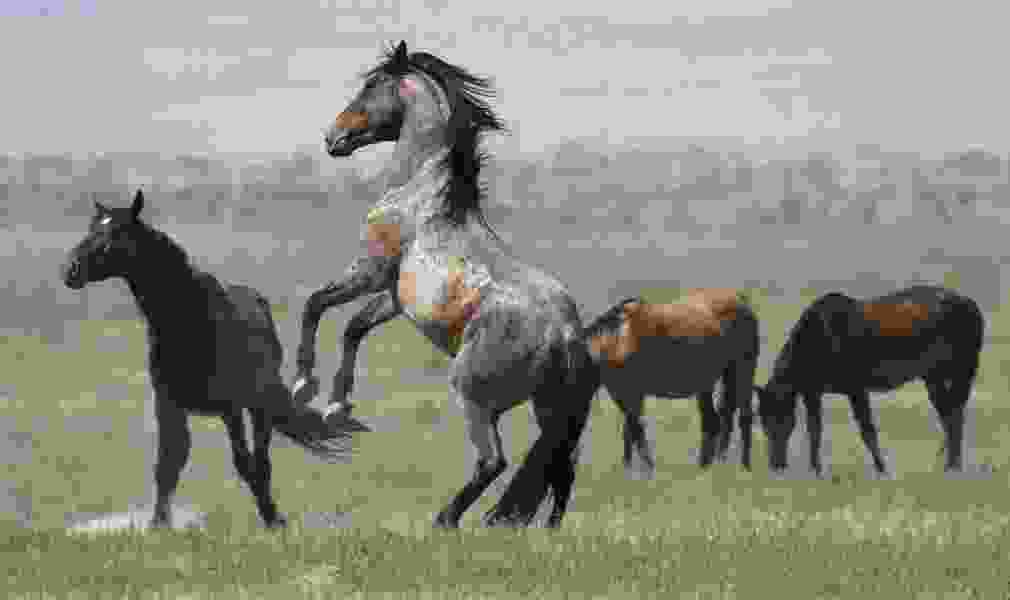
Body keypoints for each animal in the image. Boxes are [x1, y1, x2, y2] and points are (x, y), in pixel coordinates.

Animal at [60, 190, 368, 529]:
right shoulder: (168, 404)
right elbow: (168, 463)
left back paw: (272, 516)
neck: (193, 322)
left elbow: (244, 463)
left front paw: (272, 516)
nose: (70, 270)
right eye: (92, 227)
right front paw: (158, 524)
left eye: (115, 232)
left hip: (256, 407)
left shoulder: (230, 407)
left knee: (261, 460)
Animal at [293, 41, 599, 528]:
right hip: (550, 411)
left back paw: (445, 521)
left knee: (493, 461)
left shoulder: (370, 271)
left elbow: (315, 304)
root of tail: (565, 335)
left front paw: (304, 384)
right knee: (559, 471)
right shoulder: (394, 298)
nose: (332, 137)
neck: (422, 195)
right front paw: (338, 406)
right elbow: (354, 329)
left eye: (371, 85)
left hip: (473, 396)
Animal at [581, 290, 759, 477]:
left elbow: (635, 428)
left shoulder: (633, 393)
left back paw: (743, 467)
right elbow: (629, 430)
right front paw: (628, 469)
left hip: (744, 368)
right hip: (711, 382)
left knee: (743, 417)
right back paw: (709, 466)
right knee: (716, 420)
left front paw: (648, 469)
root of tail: (742, 301)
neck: (617, 338)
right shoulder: (621, 393)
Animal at [754, 285, 984, 477]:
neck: (815, 339)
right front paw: (815, 469)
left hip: (962, 372)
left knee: (955, 416)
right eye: (762, 420)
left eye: (779, 418)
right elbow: (815, 430)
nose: (776, 465)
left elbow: (867, 430)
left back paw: (953, 466)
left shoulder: (856, 389)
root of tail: (970, 304)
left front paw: (882, 468)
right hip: (934, 377)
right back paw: (949, 464)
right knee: (950, 414)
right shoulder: (812, 392)